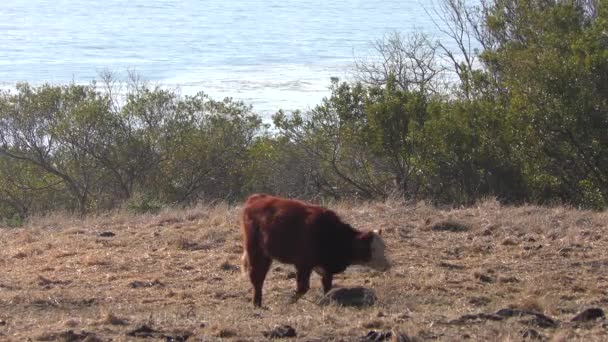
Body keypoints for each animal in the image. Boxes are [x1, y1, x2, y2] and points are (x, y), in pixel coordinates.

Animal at [241, 194, 390, 308]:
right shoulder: (303, 265)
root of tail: (256, 198)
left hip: (266, 256)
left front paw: (328, 299)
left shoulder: (326, 269)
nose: (387, 265)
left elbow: (328, 287)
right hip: (256, 252)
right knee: (257, 277)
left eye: (384, 247)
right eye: (372, 248)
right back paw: (257, 304)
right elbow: (303, 288)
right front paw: (288, 302)